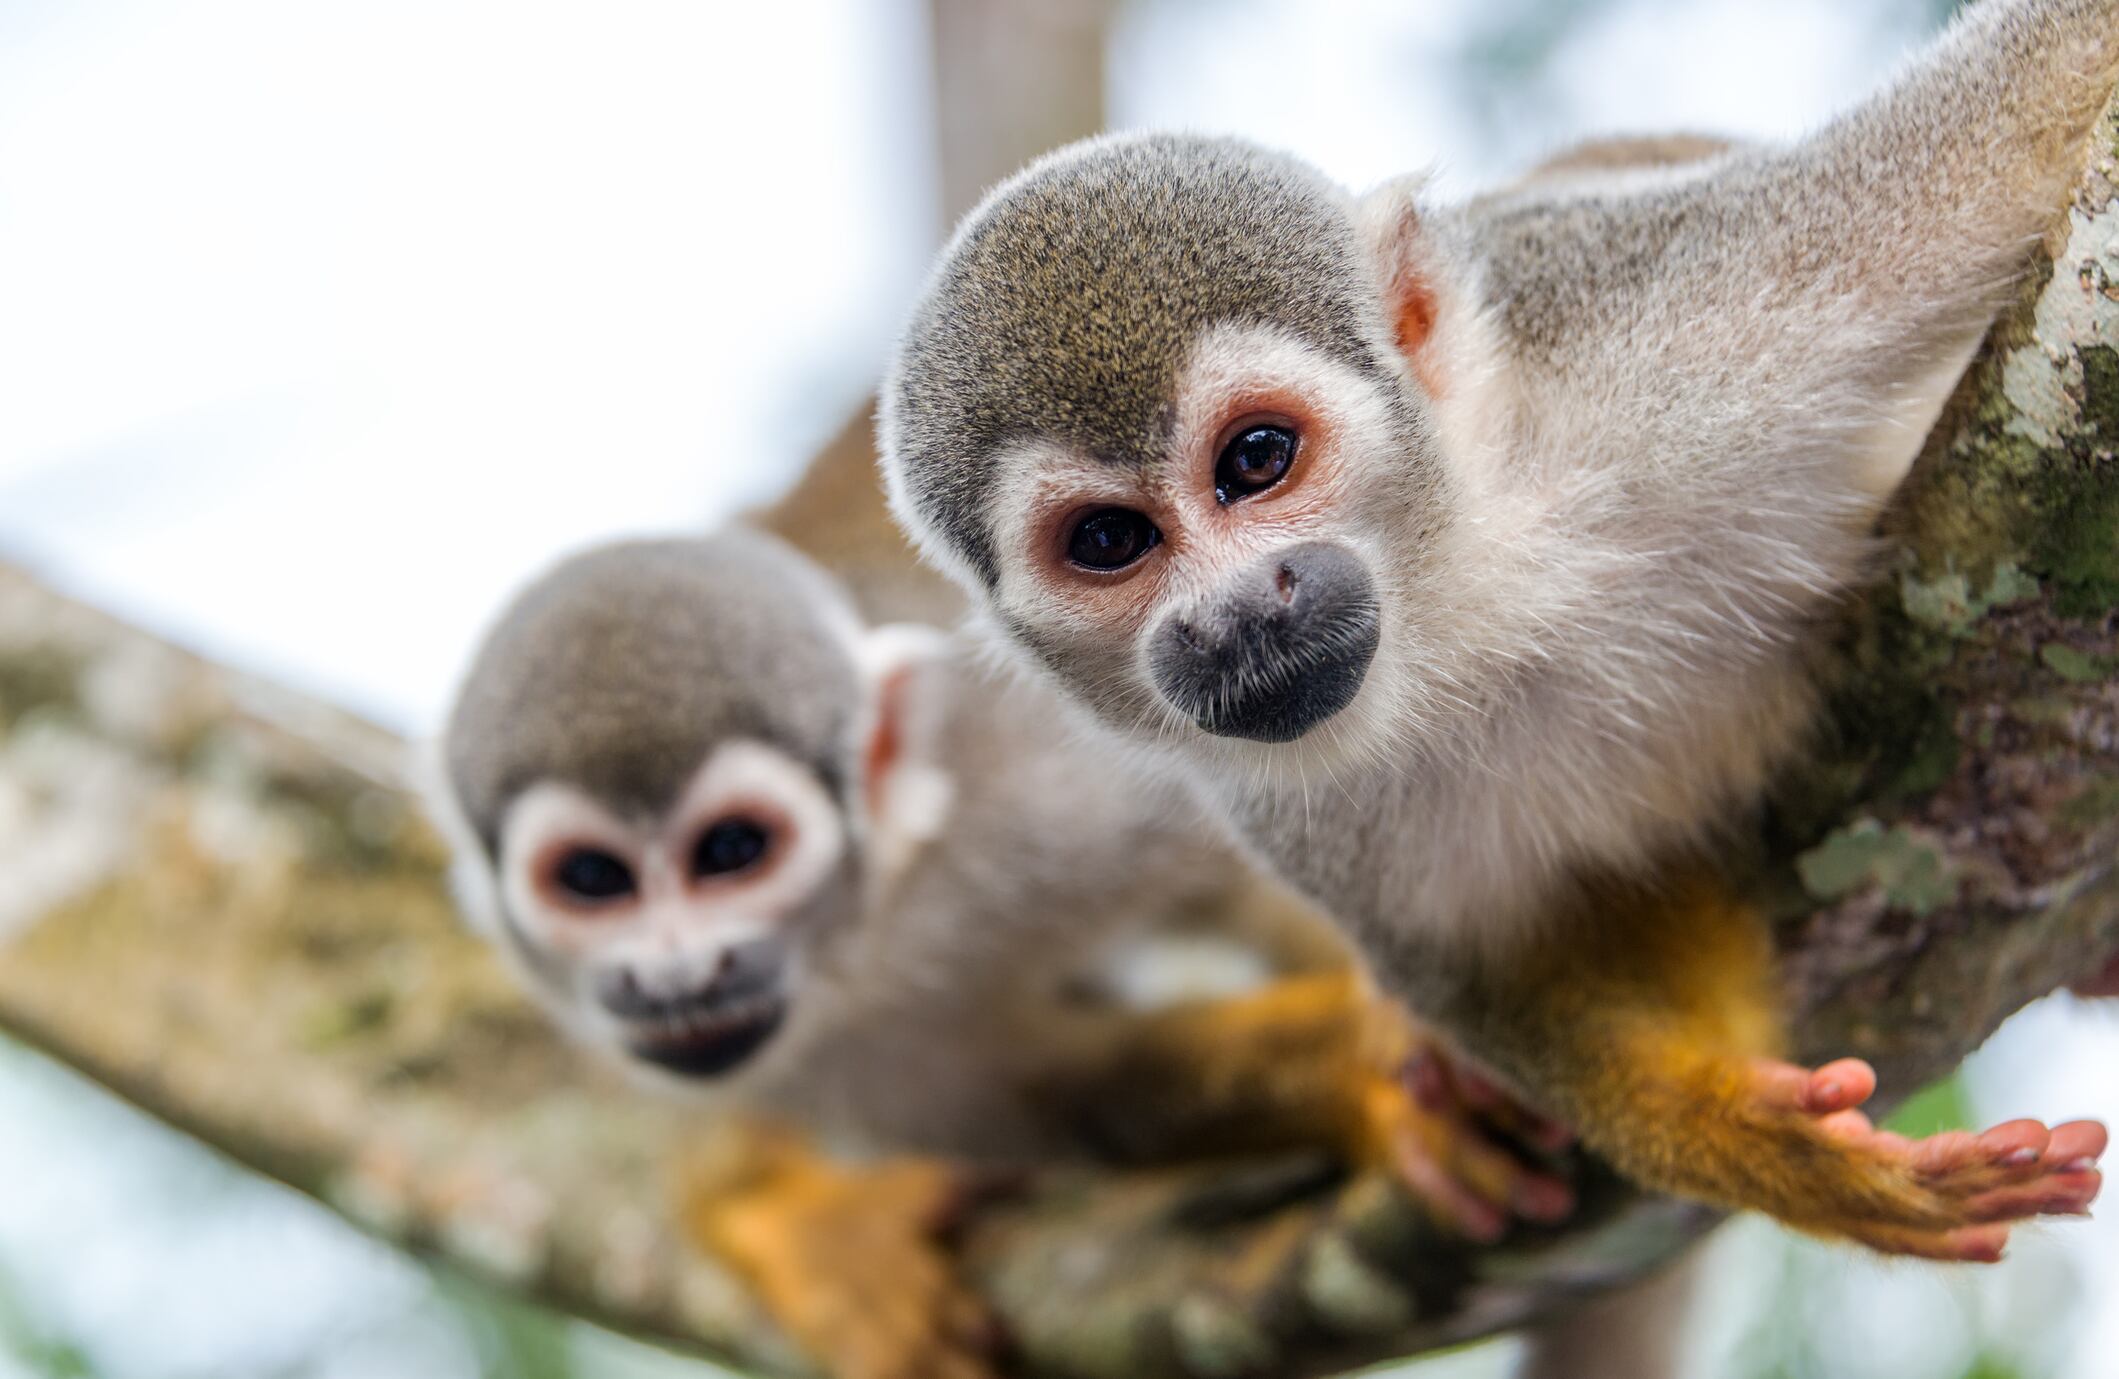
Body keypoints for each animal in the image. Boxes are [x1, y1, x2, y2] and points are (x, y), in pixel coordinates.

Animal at [424, 528, 1578, 1379]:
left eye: (732, 851)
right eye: (593, 879)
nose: (677, 974)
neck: (874, 928)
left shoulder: (1048, 780)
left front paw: (1385, 1053)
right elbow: (1064, 1086)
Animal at [878, 0, 2116, 1266]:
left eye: (1256, 459)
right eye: (1109, 540)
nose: (1235, 615)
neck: (1463, 598)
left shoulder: (1666, 316)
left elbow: (2010, 120)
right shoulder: (1284, 806)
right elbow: (1488, 970)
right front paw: (1746, 1135)